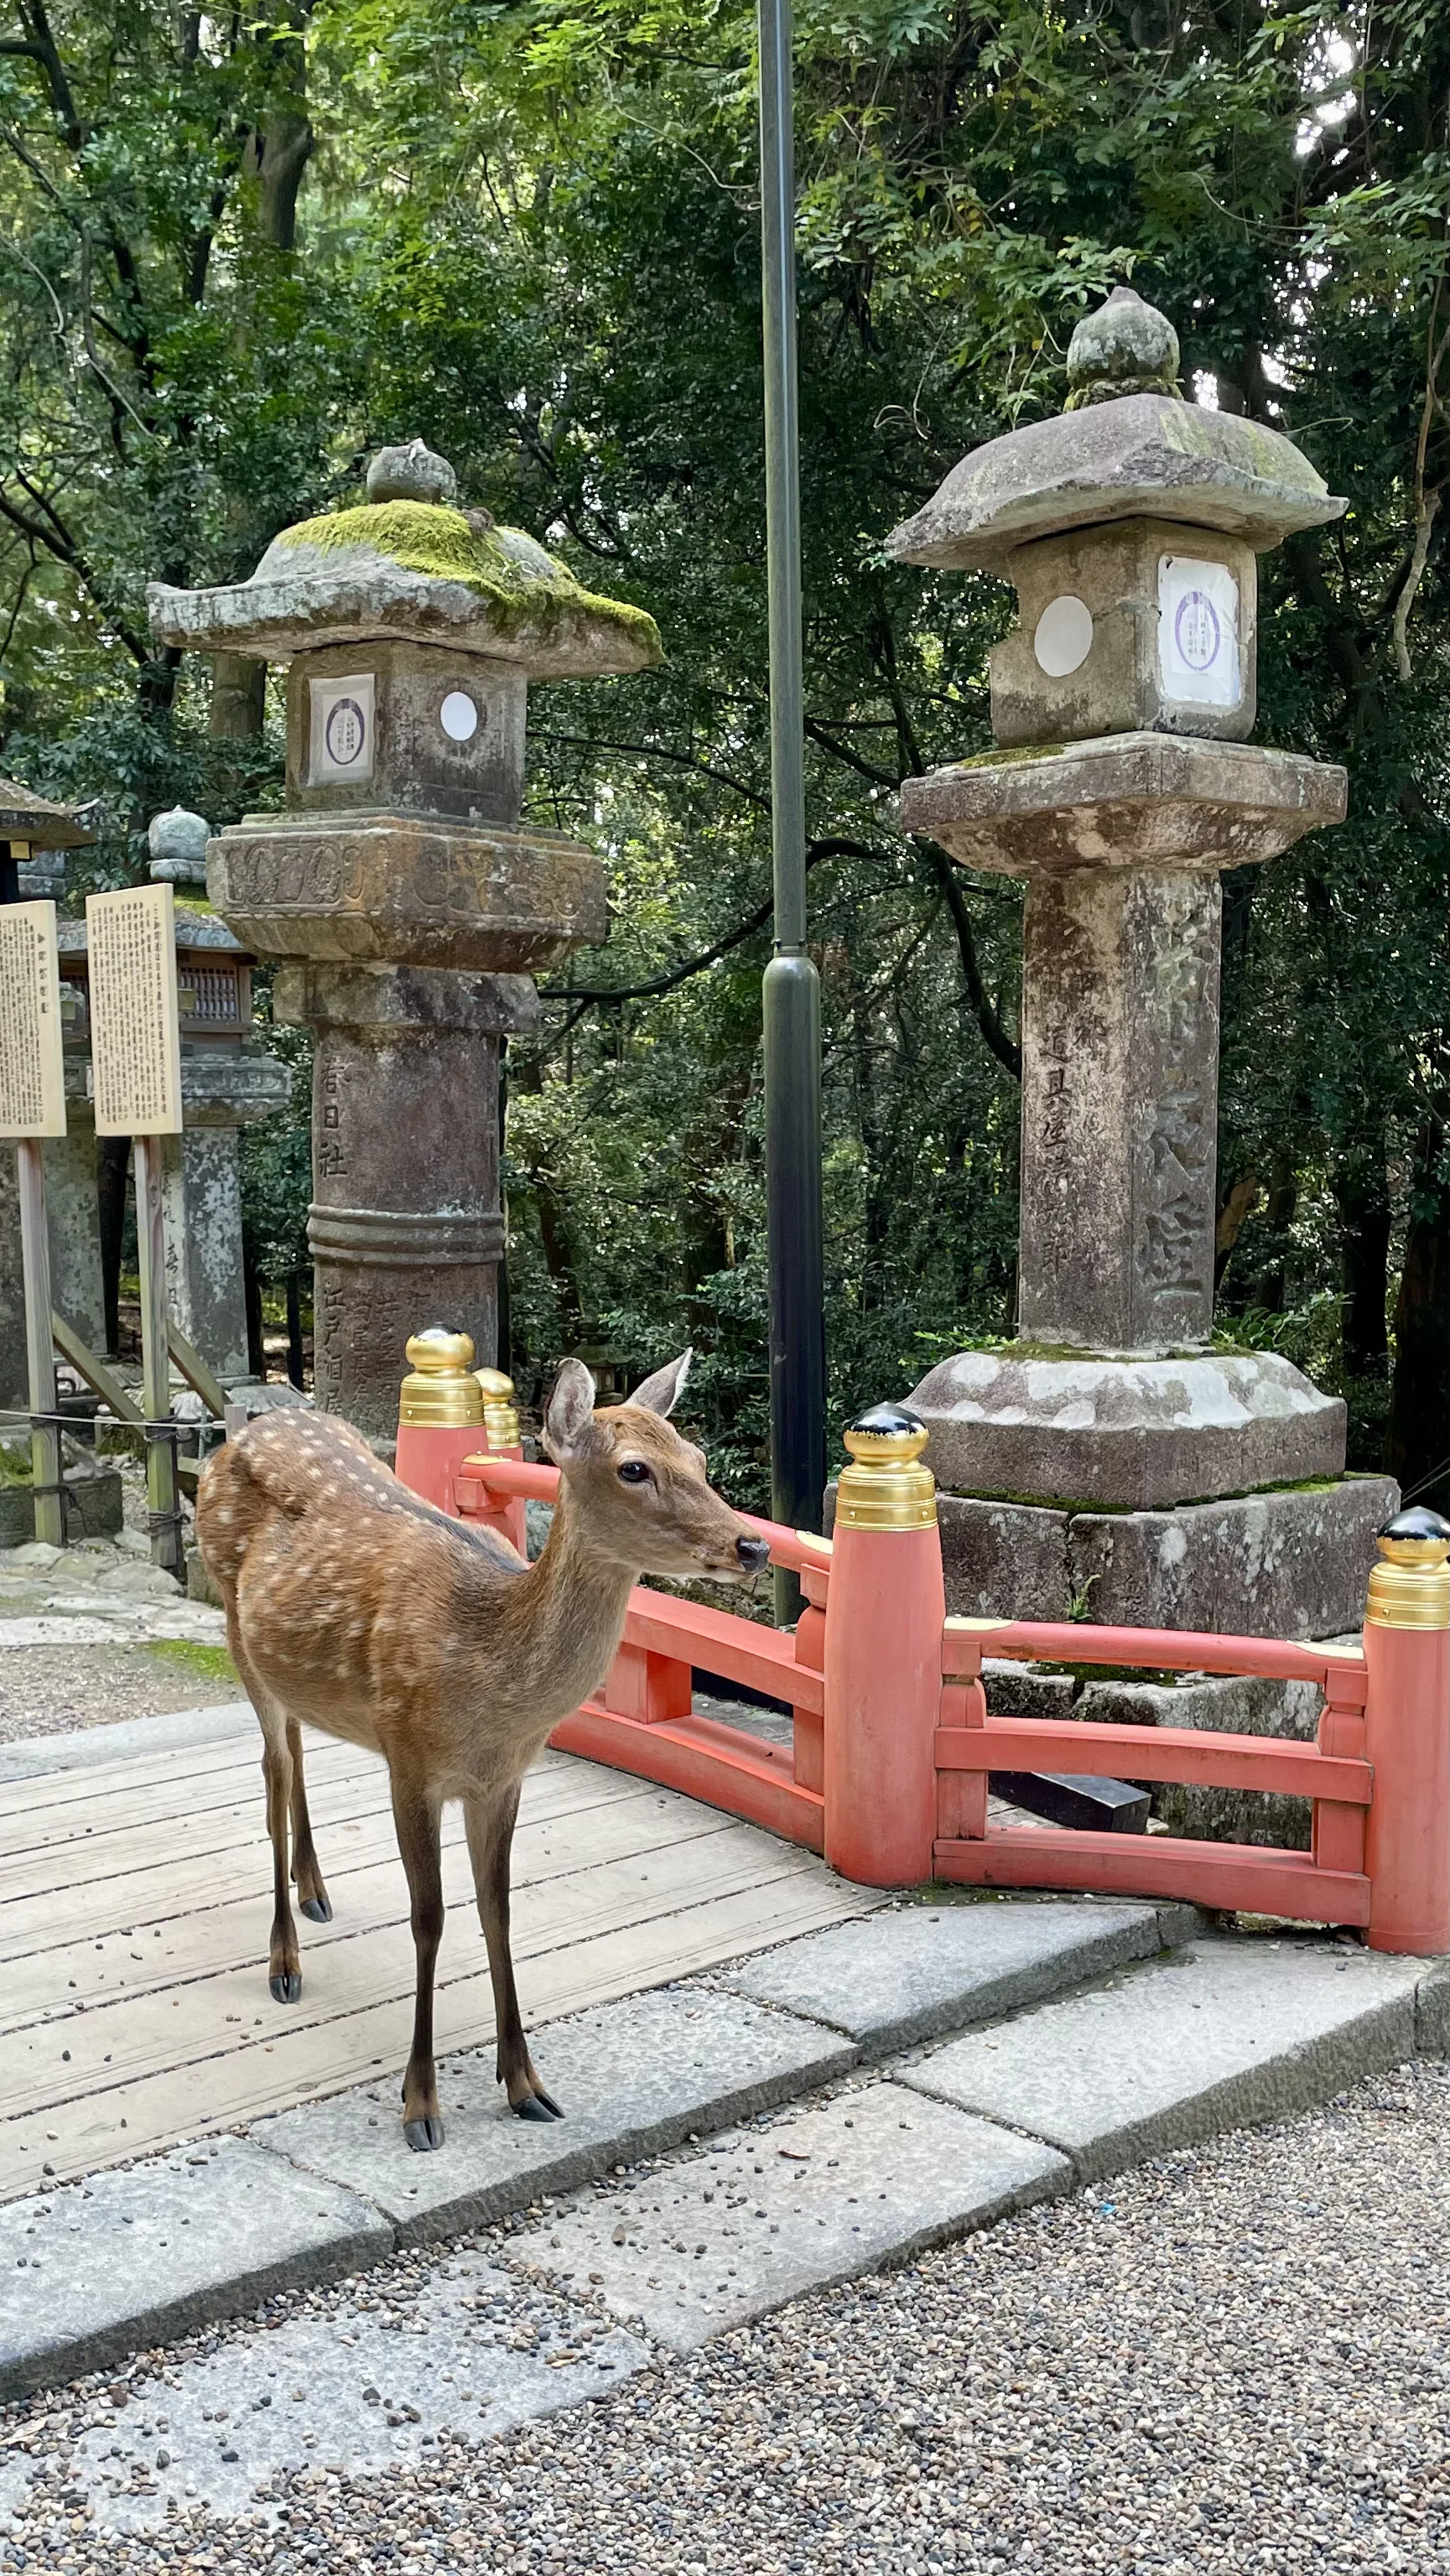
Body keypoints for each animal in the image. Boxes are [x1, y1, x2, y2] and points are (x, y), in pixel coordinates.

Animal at [194, 1351, 770, 2149]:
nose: (753, 1544)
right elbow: (430, 1919)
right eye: (633, 1469)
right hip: (229, 1619)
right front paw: (420, 2105)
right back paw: (284, 1961)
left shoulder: (503, 1778)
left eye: (698, 1458)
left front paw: (526, 2084)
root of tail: (241, 1431)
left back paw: (315, 1891)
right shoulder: (409, 1758)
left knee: (298, 1752)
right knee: (272, 1772)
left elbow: (497, 1909)